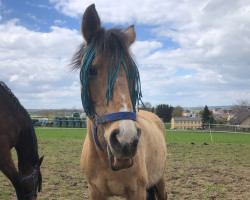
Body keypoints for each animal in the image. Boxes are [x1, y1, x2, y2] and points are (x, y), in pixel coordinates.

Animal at [70, 3, 168, 199]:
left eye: (132, 74)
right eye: (92, 70)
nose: (126, 140)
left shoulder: (136, 192)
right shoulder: (95, 192)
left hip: (160, 179)